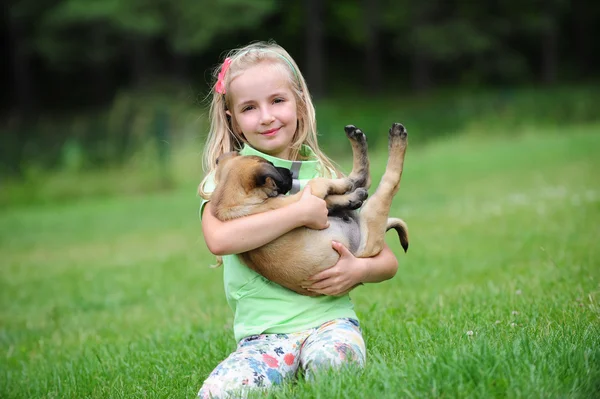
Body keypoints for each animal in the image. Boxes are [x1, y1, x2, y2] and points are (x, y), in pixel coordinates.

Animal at [209, 125, 410, 296]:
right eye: (273, 167)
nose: (290, 173)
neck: (226, 202)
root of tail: (361, 256)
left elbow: (329, 199)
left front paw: (349, 198)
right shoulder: (301, 199)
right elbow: (325, 184)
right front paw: (349, 190)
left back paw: (357, 139)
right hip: (371, 221)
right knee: (387, 182)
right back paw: (396, 139)